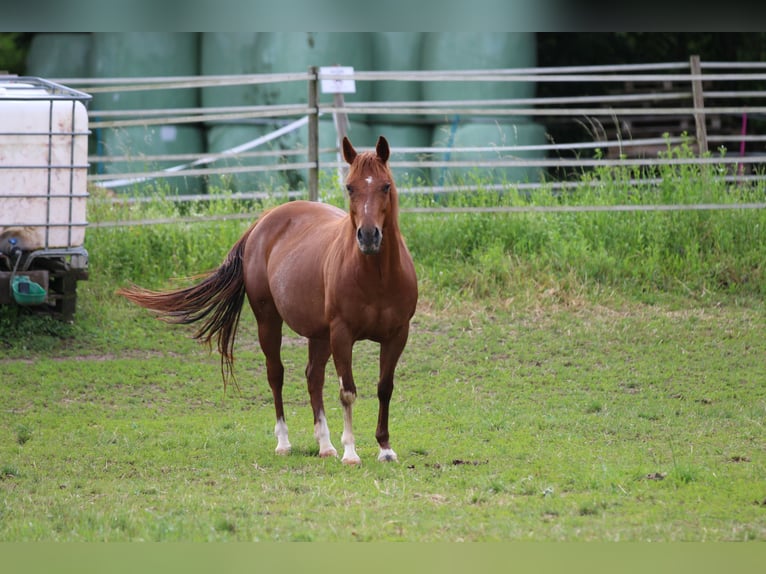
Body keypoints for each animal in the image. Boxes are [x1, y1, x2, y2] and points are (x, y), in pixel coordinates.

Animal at [120, 137, 420, 466]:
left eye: (386, 186)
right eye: (350, 187)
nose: (367, 236)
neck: (376, 276)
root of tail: (262, 223)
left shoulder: (397, 335)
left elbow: (384, 388)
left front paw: (385, 448)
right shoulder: (342, 334)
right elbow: (348, 392)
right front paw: (351, 452)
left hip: (319, 334)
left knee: (313, 378)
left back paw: (325, 445)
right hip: (269, 321)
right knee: (276, 375)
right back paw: (285, 442)